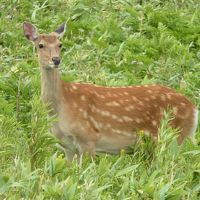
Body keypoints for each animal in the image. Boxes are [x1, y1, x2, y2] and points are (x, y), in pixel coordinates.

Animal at [22, 22, 198, 161]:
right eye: (40, 45)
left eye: (60, 44)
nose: (56, 60)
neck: (60, 108)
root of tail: (194, 109)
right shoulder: (67, 146)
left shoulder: (88, 137)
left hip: (176, 136)